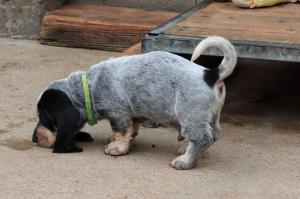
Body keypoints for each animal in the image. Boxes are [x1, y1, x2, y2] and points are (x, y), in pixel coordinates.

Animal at [31, 36, 236, 169]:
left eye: (45, 118)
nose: (34, 139)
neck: (90, 87)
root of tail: (211, 74)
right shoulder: (131, 114)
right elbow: (131, 129)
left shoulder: (118, 113)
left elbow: (120, 132)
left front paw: (117, 147)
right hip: (209, 117)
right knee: (213, 135)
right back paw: (187, 151)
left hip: (189, 115)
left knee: (203, 138)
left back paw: (186, 161)